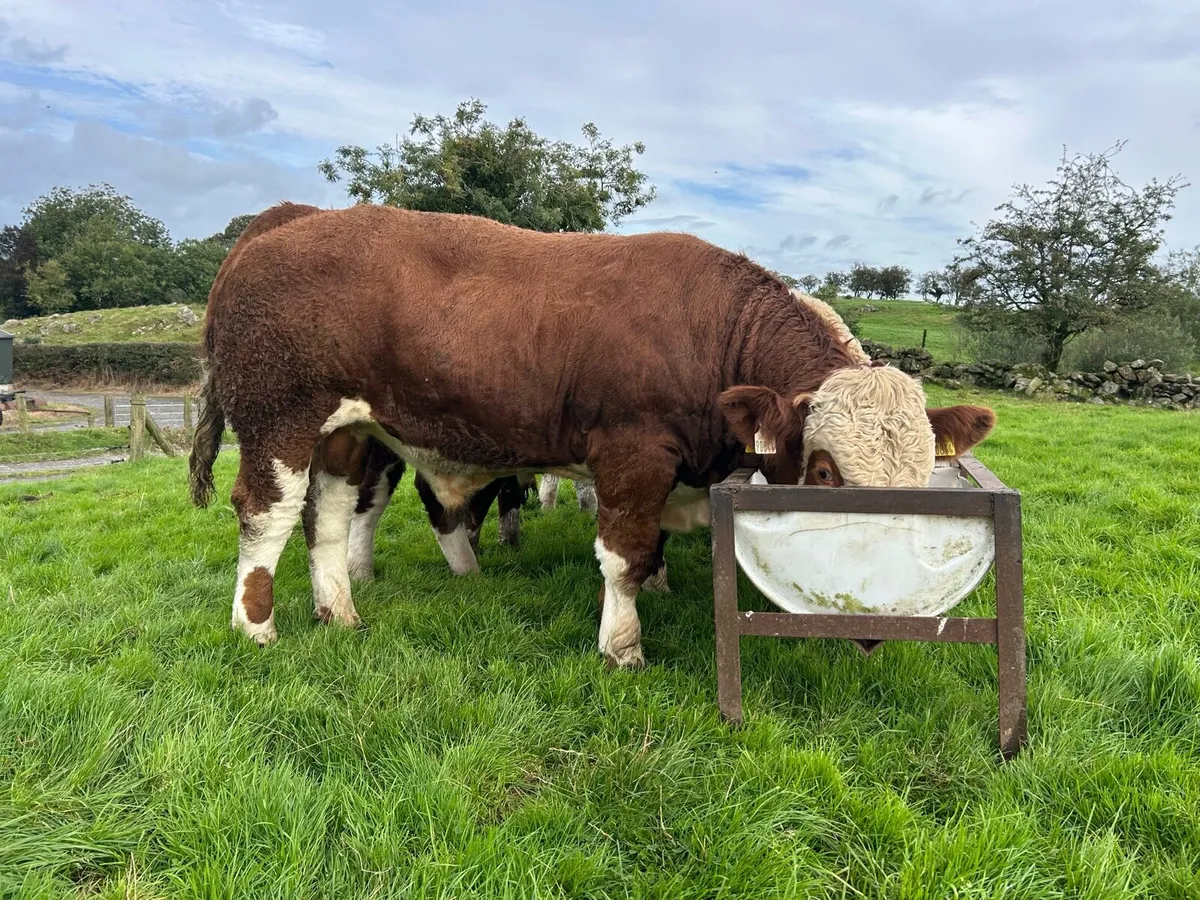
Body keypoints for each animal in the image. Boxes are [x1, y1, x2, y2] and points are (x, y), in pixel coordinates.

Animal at [188, 202, 997, 668]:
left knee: (326, 517)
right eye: (825, 473)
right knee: (266, 514)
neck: (712, 332)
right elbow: (623, 555)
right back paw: (255, 627)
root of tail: (285, 222)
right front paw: (622, 645)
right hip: (279, 418)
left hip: (348, 432)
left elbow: (653, 545)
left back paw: (340, 611)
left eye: (920, 478)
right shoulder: (632, 454)